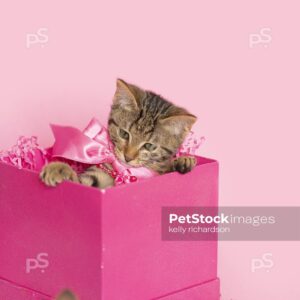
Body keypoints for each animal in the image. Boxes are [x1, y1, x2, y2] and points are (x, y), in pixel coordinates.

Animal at [41, 78, 198, 189]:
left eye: (149, 146)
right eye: (124, 133)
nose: (128, 157)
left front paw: (184, 160)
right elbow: (80, 182)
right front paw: (58, 168)